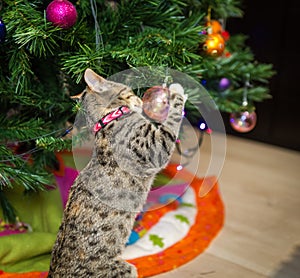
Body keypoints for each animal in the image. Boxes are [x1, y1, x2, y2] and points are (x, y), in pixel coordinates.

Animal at [47, 68, 186, 276]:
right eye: (130, 91)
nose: (140, 98)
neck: (107, 119)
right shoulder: (154, 148)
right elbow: (169, 123)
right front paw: (176, 92)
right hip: (124, 269)